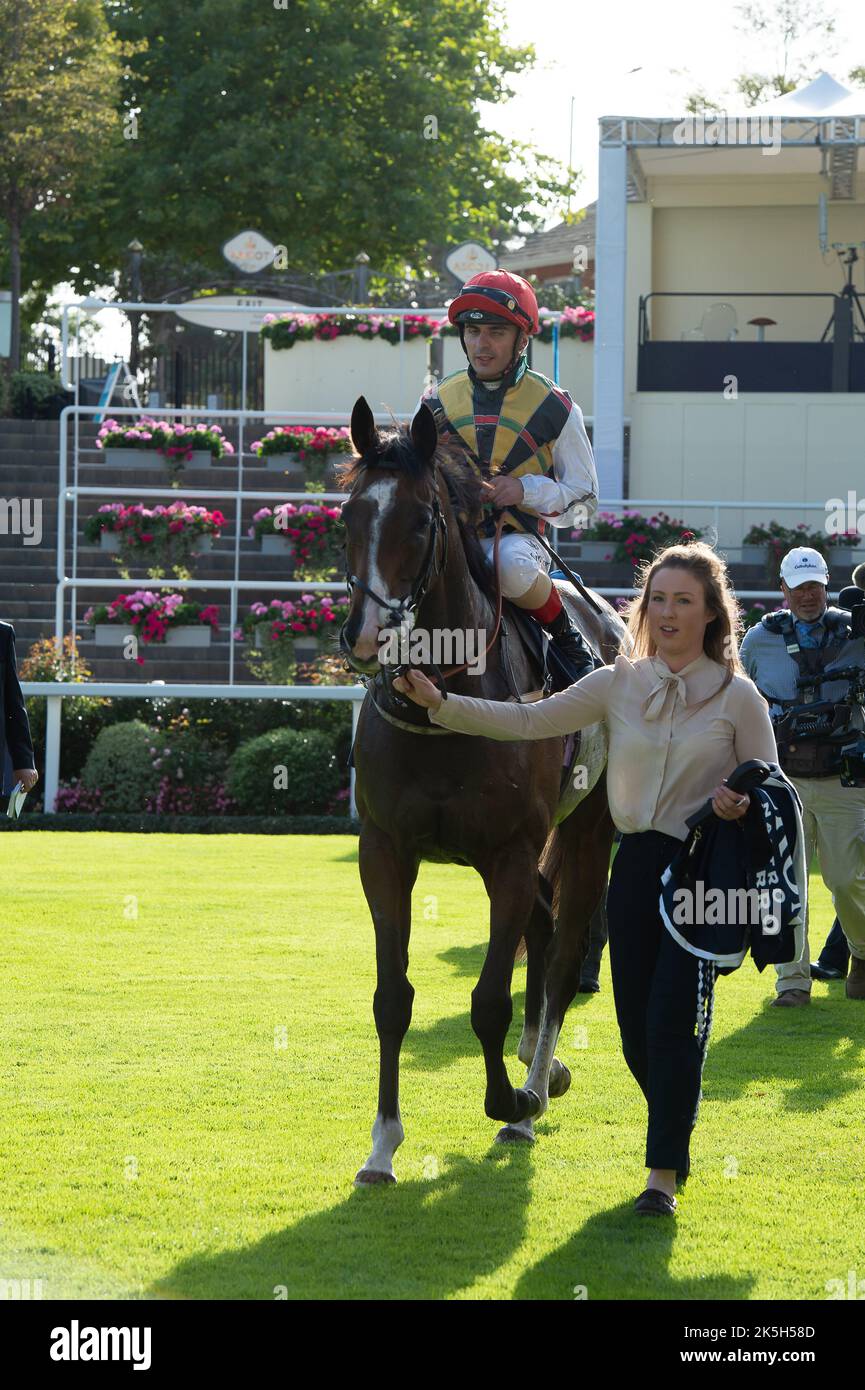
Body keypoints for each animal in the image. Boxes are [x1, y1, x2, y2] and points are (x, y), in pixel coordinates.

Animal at [340, 394, 631, 1184]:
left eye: (419, 522)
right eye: (348, 515)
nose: (365, 637)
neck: (445, 698)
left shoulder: (509, 853)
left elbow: (490, 999)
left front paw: (510, 1101)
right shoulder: (385, 851)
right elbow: (390, 998)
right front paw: (382, 1143)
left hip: (586, 831)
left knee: (564, 948)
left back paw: (532, 1093)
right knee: (543, 924)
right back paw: (542, 1066)